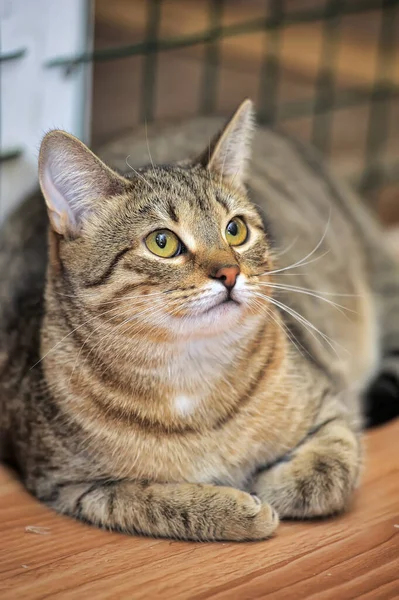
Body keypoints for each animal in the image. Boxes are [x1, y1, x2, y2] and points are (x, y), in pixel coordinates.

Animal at [0, 101, 398, 540]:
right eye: (162, 242)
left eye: (235, 229)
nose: (230, 272)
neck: (189, 373)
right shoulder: (71, 486)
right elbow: (151, 501)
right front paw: (236, 507)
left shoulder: (332, 405)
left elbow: (329, 472)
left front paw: (270, 485)